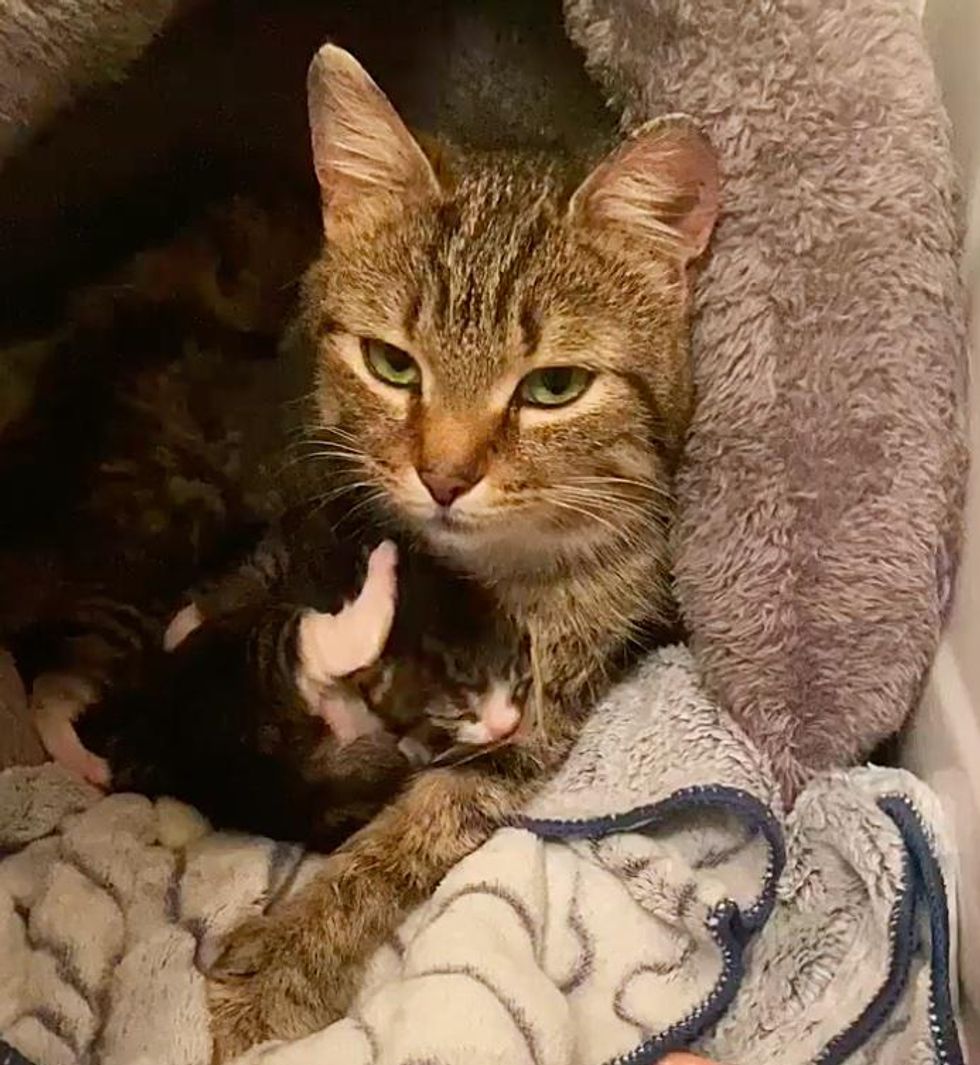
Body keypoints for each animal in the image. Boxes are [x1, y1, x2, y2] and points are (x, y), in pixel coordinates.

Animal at [204, 43, 720, 1056]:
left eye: (554, 387)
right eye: (392, 363)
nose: (443, 476)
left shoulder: (535, 718)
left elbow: (414, 829)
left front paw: (290, 954)